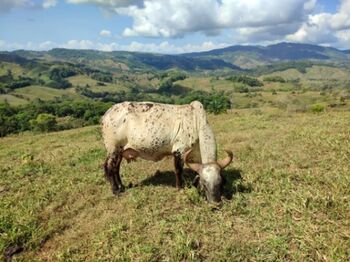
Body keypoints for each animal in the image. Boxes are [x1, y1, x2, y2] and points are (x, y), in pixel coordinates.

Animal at [101, 100, 232, 203]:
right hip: (114, 148)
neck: (196, 122)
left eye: (220, 182)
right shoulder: (179, 150)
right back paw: (116, 190)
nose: (215, 203)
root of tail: (107, 114)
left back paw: (121, 186)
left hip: (120, 151)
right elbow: (178, 170)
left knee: (116, 168)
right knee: (110, 168)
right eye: (204, 184)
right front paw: (180, 188)